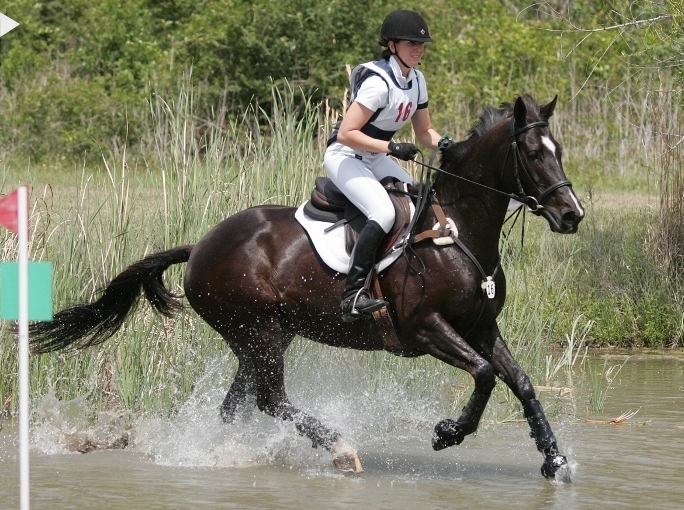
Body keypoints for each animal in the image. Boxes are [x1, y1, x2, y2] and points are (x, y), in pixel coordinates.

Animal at [26, 93, 584, 480]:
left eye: (559, 150)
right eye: (532, 153)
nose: (572, 215)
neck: (457, 232)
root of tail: (200, 245)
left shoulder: (480, 326)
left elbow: (520, 381)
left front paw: (554, 460)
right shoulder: (425, 328)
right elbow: (486, 375)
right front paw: (449, 433)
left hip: (263, 335)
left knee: (240, 404)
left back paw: (222, 454)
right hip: (258, 329)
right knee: (271, 398)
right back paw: (339, 449)